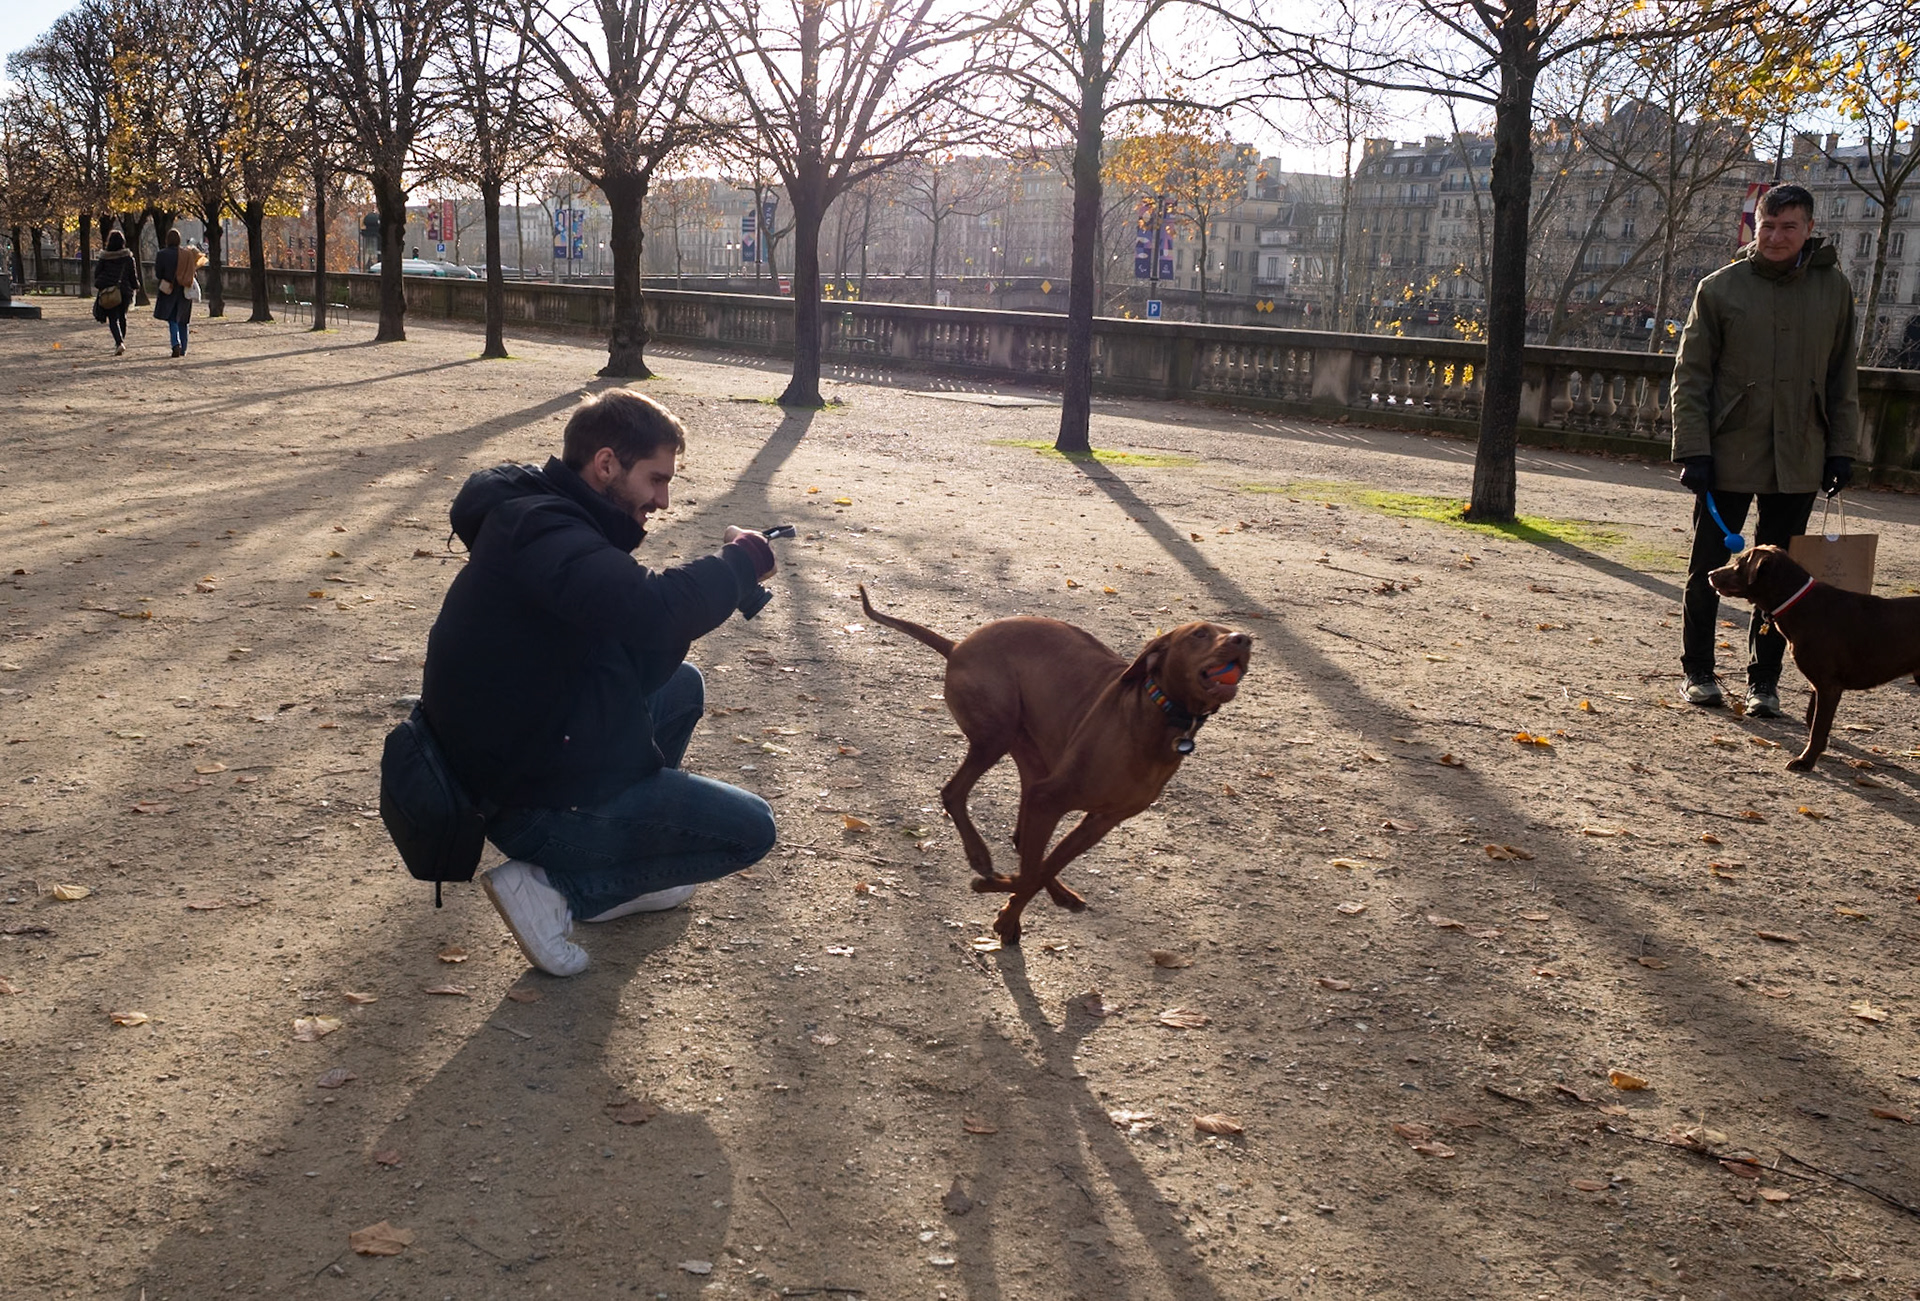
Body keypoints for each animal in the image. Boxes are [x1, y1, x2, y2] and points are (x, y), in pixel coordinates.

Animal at [857, 585, 1252, 943]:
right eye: (1199, 633)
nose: (1244, 639)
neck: (1157, 714)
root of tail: (958, 646)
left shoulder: (1101, 821)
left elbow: (1043, 867)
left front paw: (1009, 908)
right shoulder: (1051, 798)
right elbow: (1031, 874)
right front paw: (1001, 907)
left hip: (1033, 757)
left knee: (1023, 840)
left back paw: (1053, 890)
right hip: (996, 736)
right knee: (955, 794)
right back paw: (981, 857)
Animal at [1708, 545, 1920, 771]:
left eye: (1739, 562)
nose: (1710, 573)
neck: (1799, 605)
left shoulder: (1829, 686)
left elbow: (1818, 728)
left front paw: (1805, 761)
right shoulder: (1817, 684)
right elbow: (1812, 719)